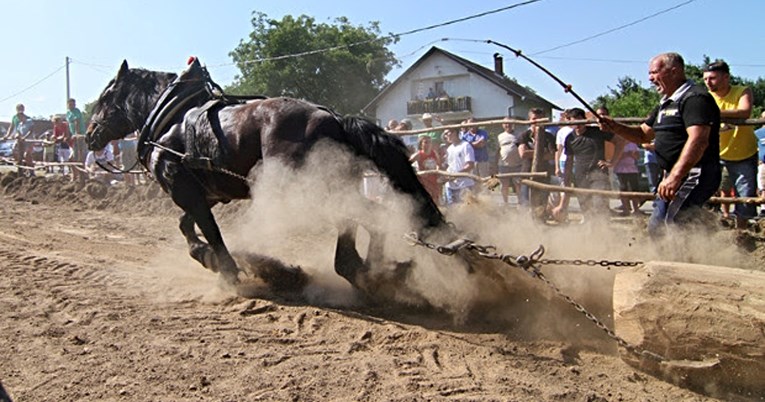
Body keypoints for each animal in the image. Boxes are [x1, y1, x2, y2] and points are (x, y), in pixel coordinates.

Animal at [86, 59, 444, 288]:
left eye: (105, 97)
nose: (89, 135)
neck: (169, 120)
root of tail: (335, 119)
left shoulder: (184, 189)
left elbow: (209, 231)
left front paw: (226, 269)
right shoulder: (207, 194)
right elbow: (186, 225)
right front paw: (207, 257)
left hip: (309, 193)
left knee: (365, 218)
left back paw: (364, 272)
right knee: (366, 220)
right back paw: (370, 271)